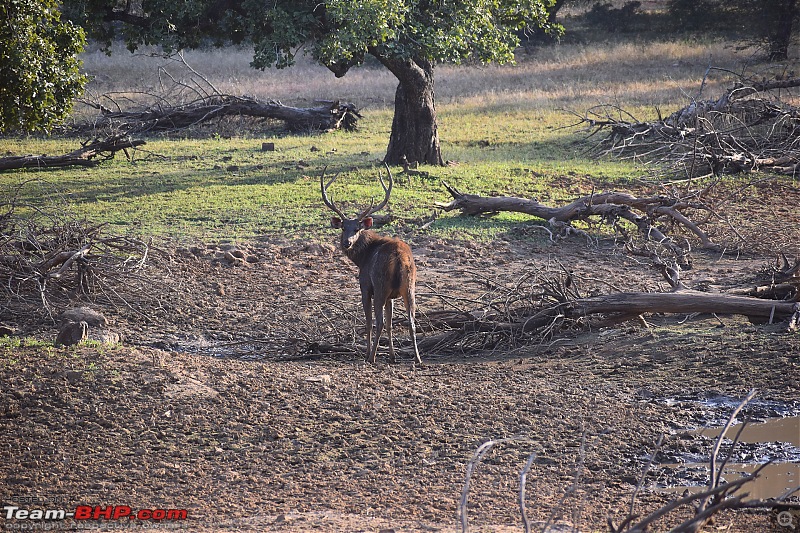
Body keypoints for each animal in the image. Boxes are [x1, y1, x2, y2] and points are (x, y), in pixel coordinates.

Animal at [322, 165, 424, 366]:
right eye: (343, 227)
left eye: (357, 229)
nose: (346, 243)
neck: (362, 259)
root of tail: (399, 258)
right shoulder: (392, 296)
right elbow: (391, 323)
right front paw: (392, 355)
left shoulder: (365, 286)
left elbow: (369, 321)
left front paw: (368, 351)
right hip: (409, 286)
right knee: (411, 320)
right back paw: (418, 359)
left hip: (380, 285)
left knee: (379, 321)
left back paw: (372, 357)